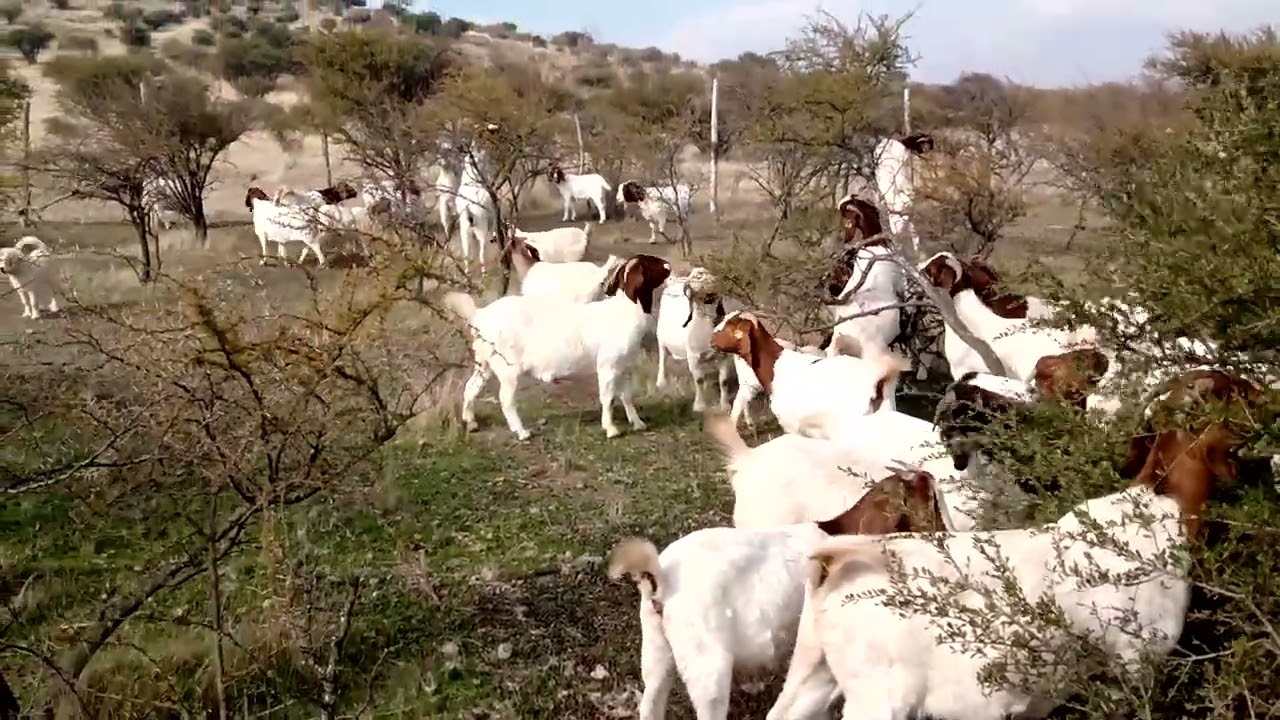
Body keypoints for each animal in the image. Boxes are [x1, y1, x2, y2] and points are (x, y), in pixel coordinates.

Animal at [443, 254, 671, 440]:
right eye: (651, 263)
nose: (668, 265)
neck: (624, 311)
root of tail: (480, 316)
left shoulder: (622, 366)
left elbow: (626, 396)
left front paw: (638, 423)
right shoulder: (607, 365)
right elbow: (608, 398)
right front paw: (611, 429)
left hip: (484, 362)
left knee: (471, 387)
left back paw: (471, 422)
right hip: (507, 367)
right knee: (505, 399)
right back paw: (522, 432)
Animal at [607, 470, 947, 720]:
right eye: (932, 500)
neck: (844, 528)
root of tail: (660, 575)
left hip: (656, 647)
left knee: (651, 701)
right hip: (707, 660)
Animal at [654, 269, 734, 413]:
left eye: (701, 277)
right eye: (695, 277)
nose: (690, 286)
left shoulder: (723, 356)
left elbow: (724, 381)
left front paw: (725, 406)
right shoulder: (693, 357)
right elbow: (699, 380)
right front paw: (699, 406)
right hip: (661, 339)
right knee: (662, 359)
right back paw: (661, 382)